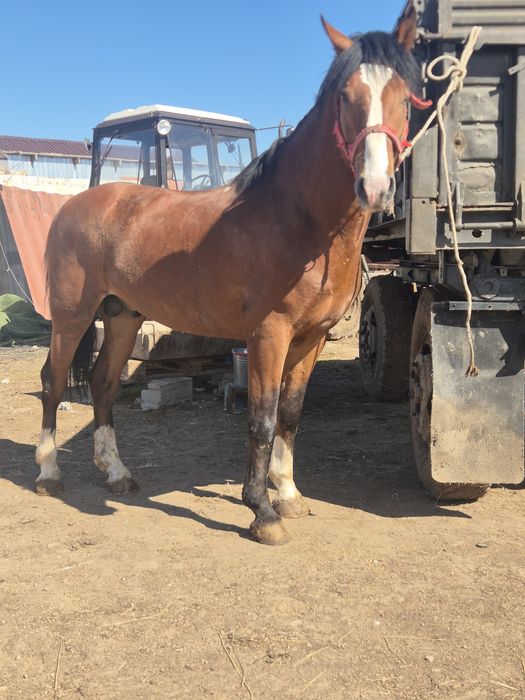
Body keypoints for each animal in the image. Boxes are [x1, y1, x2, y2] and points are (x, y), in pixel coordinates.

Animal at [36, 7, 426, 545]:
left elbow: (291, 413)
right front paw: (261, 512)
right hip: (72, 315)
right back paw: (48, 473)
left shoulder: (312, 338)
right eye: (345, 97)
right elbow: (261, 418)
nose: (375, 187)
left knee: (103, 383)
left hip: (121, 317)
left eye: (405, 99)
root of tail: (74, 206)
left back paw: (116, 473)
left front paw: (289, 495)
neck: (298, 220)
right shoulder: (268, 334)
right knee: (53, 381)